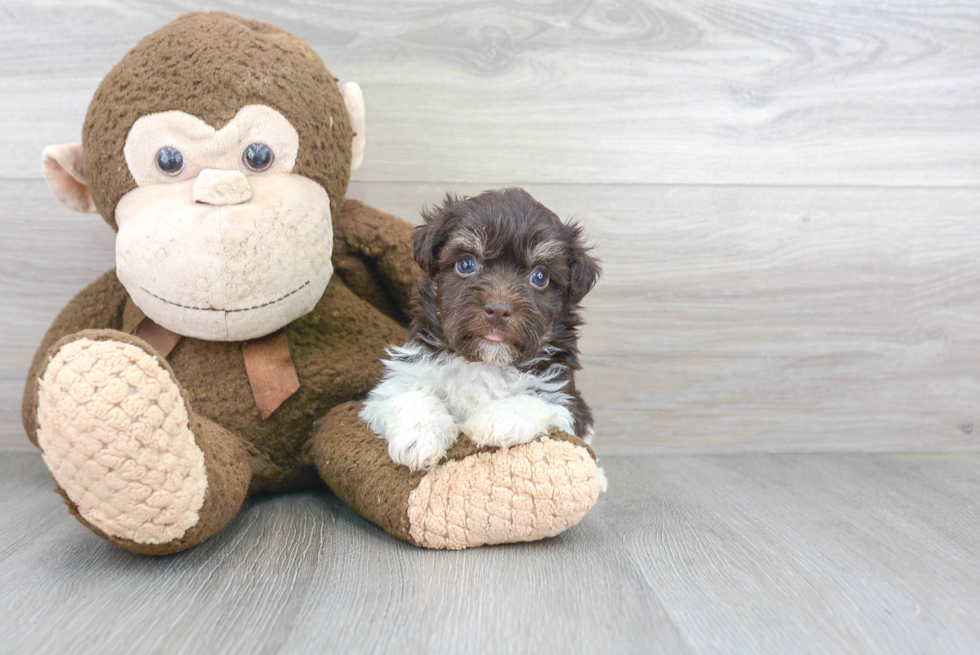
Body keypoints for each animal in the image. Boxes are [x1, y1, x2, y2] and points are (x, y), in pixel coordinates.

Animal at [360, 188, 596, 472]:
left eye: (540, 277)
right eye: (466, 264)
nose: (498, 310)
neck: (485, 362)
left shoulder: (563, 397)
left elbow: (535, 400)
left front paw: (495, 421)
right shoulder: (403, 375)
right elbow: (410, 395)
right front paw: (418, 438)